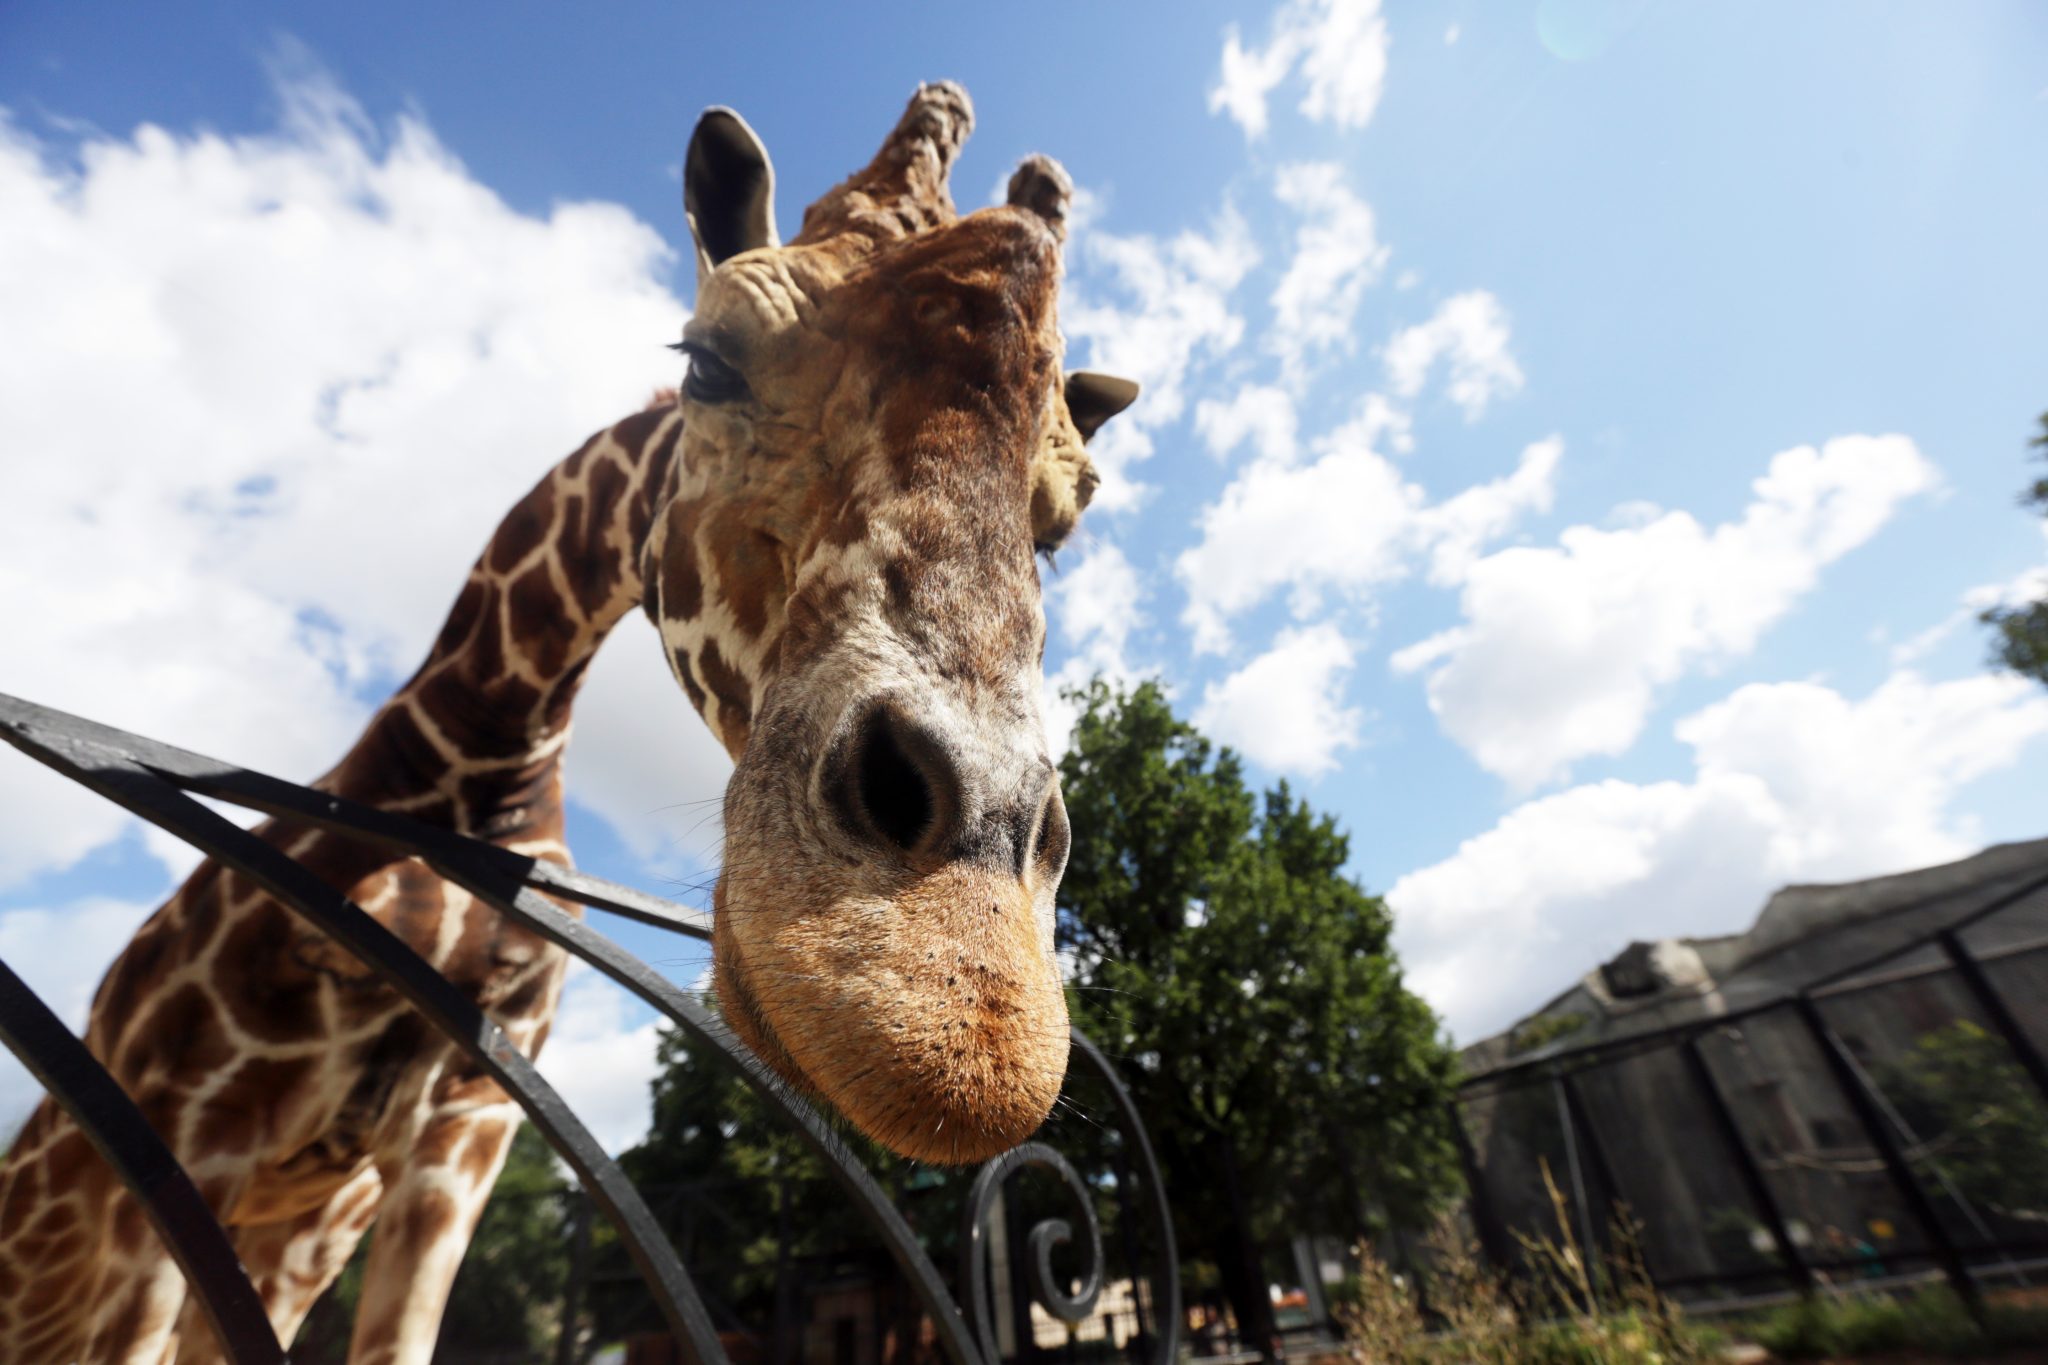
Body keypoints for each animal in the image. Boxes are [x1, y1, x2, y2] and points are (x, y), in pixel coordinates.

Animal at [0, 85, 1138, 1365]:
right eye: (706, 357)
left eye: (1063, 518)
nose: (959, 995)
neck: (480, 753)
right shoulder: (187, 1126)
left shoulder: (448, 1139)